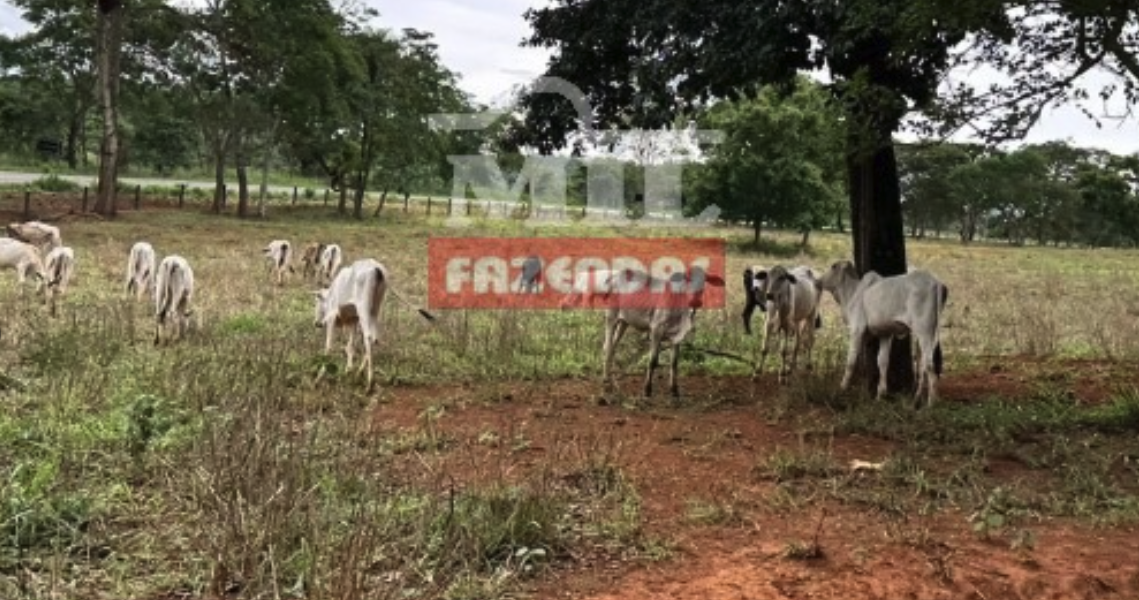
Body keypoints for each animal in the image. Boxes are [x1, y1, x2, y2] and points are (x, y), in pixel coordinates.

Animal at [314, 258, 437, 389]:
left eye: (317, 301)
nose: (317, 323)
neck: (332, 292)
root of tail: (376, 268)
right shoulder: (354, 320)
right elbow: (350, 346)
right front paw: (348, 371)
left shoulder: (332, 318)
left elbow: (329, 347)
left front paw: (319, 378)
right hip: (374, 310)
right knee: (374, 338)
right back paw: (359, 373)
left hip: (363, 308)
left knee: (368, 337)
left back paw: (369, 383)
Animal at [596, 266, 728, 398]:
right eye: (687, 279)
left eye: (704, 281)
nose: (696, 301)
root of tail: (615, 275)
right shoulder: (656, 330)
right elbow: (653, 361)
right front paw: (647, 390)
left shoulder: (677, 336)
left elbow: (674, 363)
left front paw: (674, 390)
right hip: (611, 316)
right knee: (608, 347)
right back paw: (606, 382)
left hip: (624, 322)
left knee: (612, 346)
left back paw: (611, 381)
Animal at [824, 260, 947, 405]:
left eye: (833, 266)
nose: (818, 281)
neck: (851, 293)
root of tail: (936, 283)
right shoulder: (886, 334)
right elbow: (882, 361)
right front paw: (880, 395)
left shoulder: (857, 329)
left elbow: (851, 361)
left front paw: (841, 389)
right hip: (930, 333)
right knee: (924, 363)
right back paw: (917, 399)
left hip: (924, 330)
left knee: (929, 364)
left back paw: (931, 403)